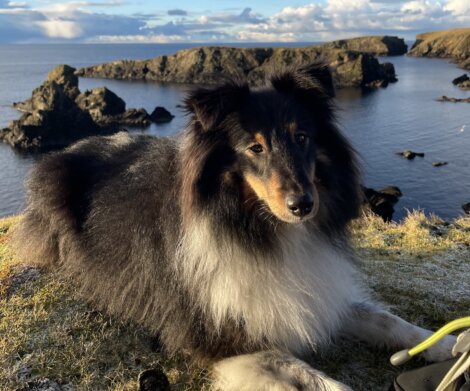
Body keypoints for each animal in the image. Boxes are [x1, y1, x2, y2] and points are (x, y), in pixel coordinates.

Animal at [13, 64, 456, 388]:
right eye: (255, 147)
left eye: (302, 137)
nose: (303, 206)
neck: (259, 229)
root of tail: (75, 144)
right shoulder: (219, 336)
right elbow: (313, 378)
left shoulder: (314, 289)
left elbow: (384, 318)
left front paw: (448, 343)